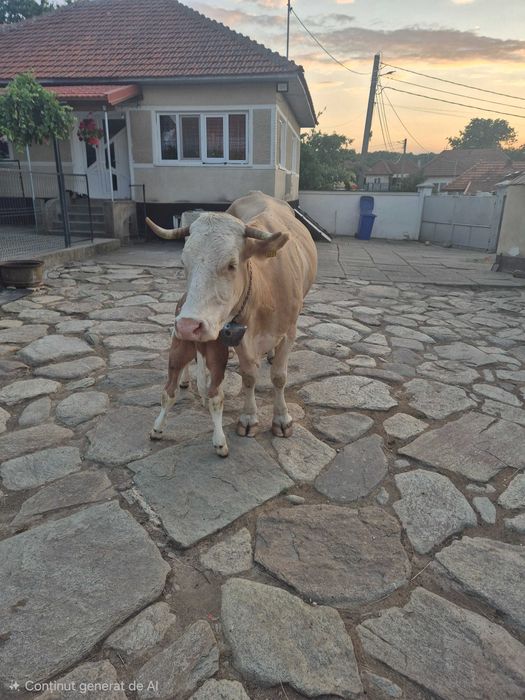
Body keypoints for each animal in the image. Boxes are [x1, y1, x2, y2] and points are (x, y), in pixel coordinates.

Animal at [145, 191, 317, 457]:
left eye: (231, 264)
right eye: (184, 263)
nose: (187, 326)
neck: (263, 291)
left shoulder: (289, 332)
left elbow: (279, 377)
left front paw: (281, 419)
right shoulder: (240, 337)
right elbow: (248, 377)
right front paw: (248, 418)